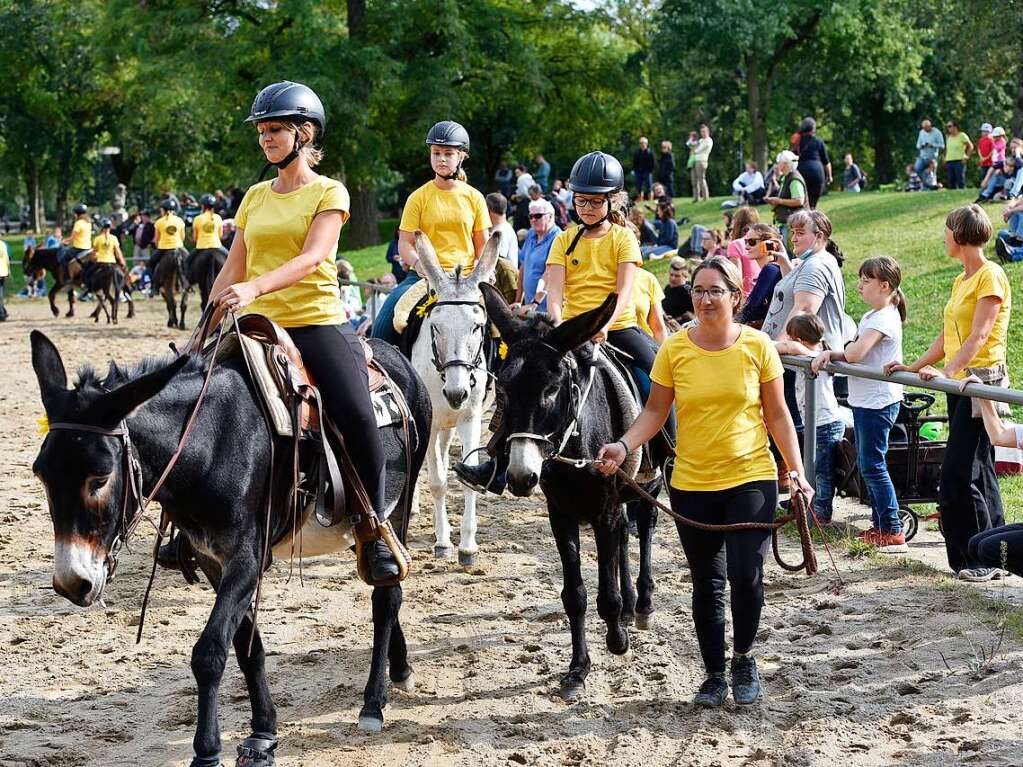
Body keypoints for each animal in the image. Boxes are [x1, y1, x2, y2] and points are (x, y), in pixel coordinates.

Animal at [409, 228, 501, 564]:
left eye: (477, 326)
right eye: (435, 327)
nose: (456, 392)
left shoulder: (469, 419)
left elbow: (468, 478)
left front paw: (468, 546)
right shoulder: (431, 421)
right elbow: (437, 481)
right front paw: (443, 542)